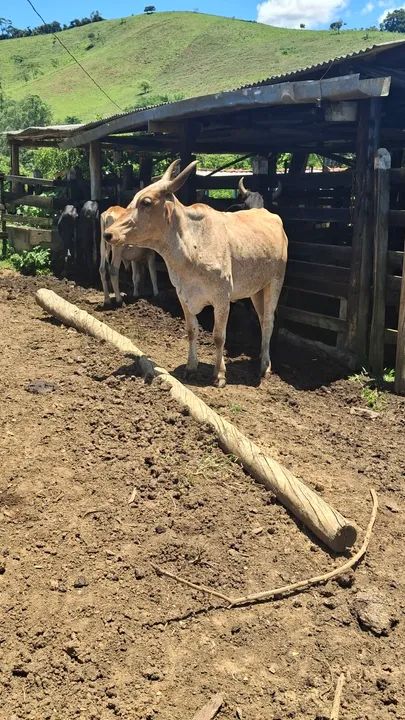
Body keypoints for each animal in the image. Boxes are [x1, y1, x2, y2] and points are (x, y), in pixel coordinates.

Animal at [104, 159, 288, 388]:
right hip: (256, 289)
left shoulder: (222, 298)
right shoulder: (184, 295)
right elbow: (191, 331)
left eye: (146, 202)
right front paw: (191, 368)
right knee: (262, 320)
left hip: (275, 282)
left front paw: (219, 375)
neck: (191, 247)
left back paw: (264, 366)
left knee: (268, 321)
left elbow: (219, 336)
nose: (108, 234)